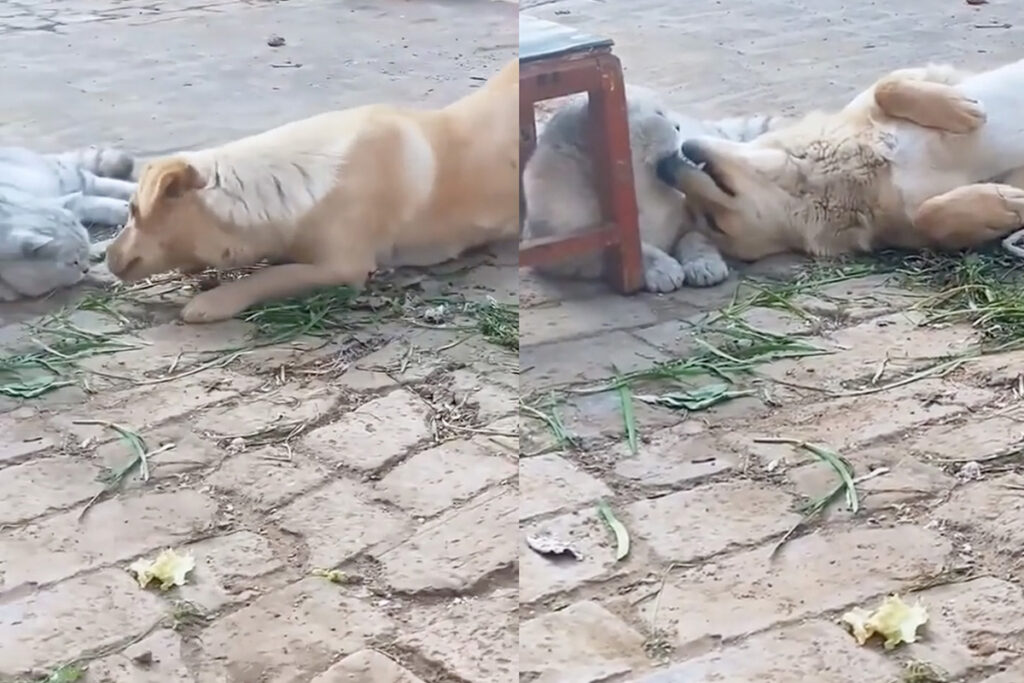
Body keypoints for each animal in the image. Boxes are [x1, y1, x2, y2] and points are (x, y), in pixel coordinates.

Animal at [651, 59, 1024, 262]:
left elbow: (886, 86)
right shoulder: (907, 226)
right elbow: (930, 216)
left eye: (711, 219)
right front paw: (1010, 204)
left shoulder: (927, 77)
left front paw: (961, 110)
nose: (662, 167)